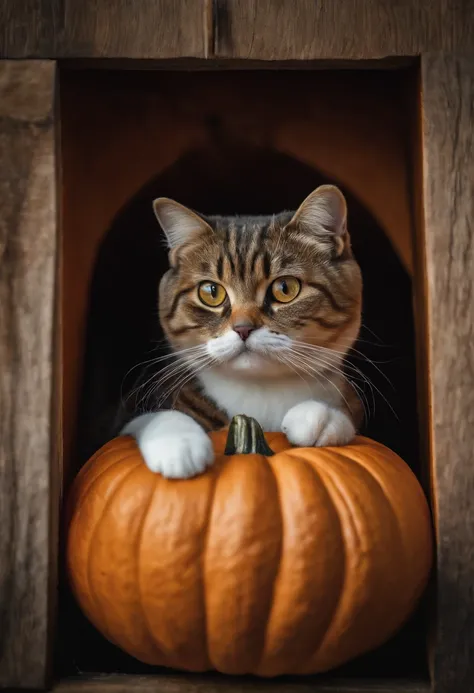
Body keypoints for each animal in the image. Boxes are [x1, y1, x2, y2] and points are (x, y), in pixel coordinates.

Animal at [122, 184, 362, 476]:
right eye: (211, 292)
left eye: (285, 288)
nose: (243, 328)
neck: (258, 389)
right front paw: (177, 445)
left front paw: (320, 416)